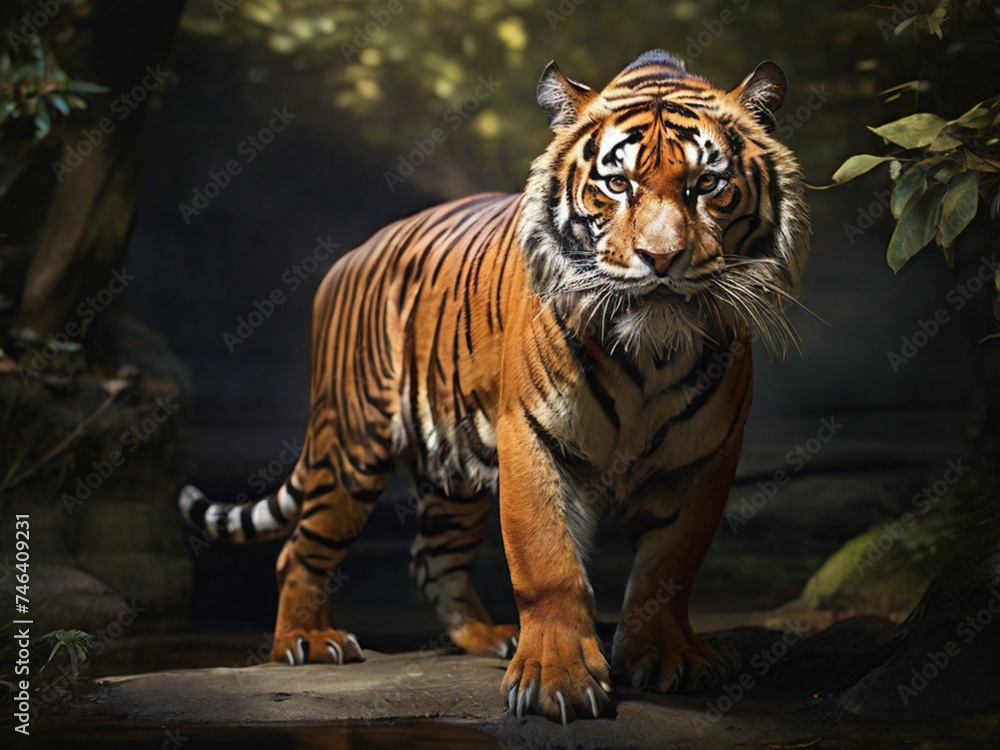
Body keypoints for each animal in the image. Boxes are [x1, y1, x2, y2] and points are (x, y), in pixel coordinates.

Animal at [178, 50, 810, 723]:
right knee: (301, 549)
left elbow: (670, 566)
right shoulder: (532, 433)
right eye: (618, 185)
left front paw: (668, 656)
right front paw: (558, 681)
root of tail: (345, 260)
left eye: (707, 185)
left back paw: (485, 637)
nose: (661, 259)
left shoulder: (703, 457)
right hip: (352, 448)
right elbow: (547, 562)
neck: (652, 354)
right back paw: (306, 641)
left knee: (433, 559)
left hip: (453, 473)